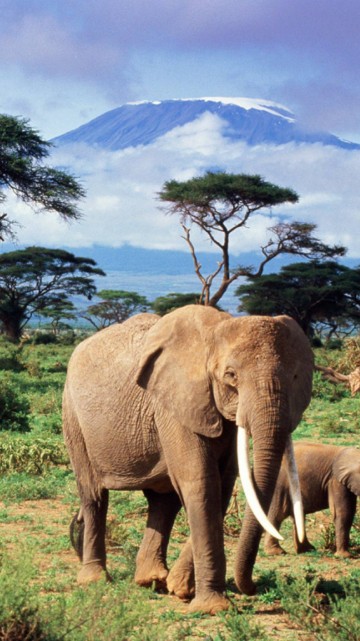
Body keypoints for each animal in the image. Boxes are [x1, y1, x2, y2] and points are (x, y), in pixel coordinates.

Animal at [62, 302, 312, 612]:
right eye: (231, 376)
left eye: (295, 378)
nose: (252, 588)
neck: (216, 331)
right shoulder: (174, 402)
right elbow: (202, 482)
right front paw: (212, 608)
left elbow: (222, 485)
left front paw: (181, 589)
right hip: (73, 416)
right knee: (95, 495)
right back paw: (95, 580)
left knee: (163, 501)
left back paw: (152, 580)